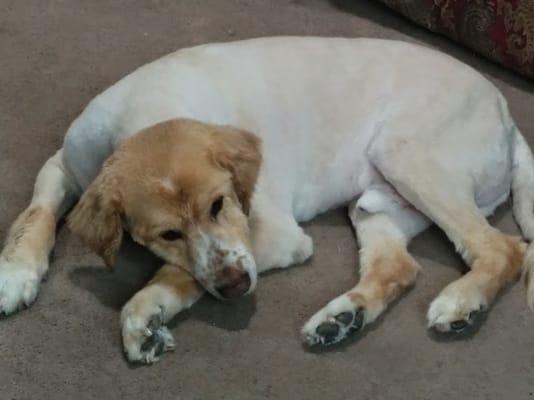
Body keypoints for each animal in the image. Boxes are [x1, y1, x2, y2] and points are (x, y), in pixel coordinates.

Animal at [1, 36, 534, 362]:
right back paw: (342, 318)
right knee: (400, 266)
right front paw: (14, 275)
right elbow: (35, 213)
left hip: (410, 156)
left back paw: (461, 302)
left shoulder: (275, 235)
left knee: (504, 248)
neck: (144, 116)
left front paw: (146, 307)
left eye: (219, 204)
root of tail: (506, 112)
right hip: (374, 203)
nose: (237, 287)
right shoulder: (63, 164)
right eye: (167, 233)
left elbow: (184, 274)